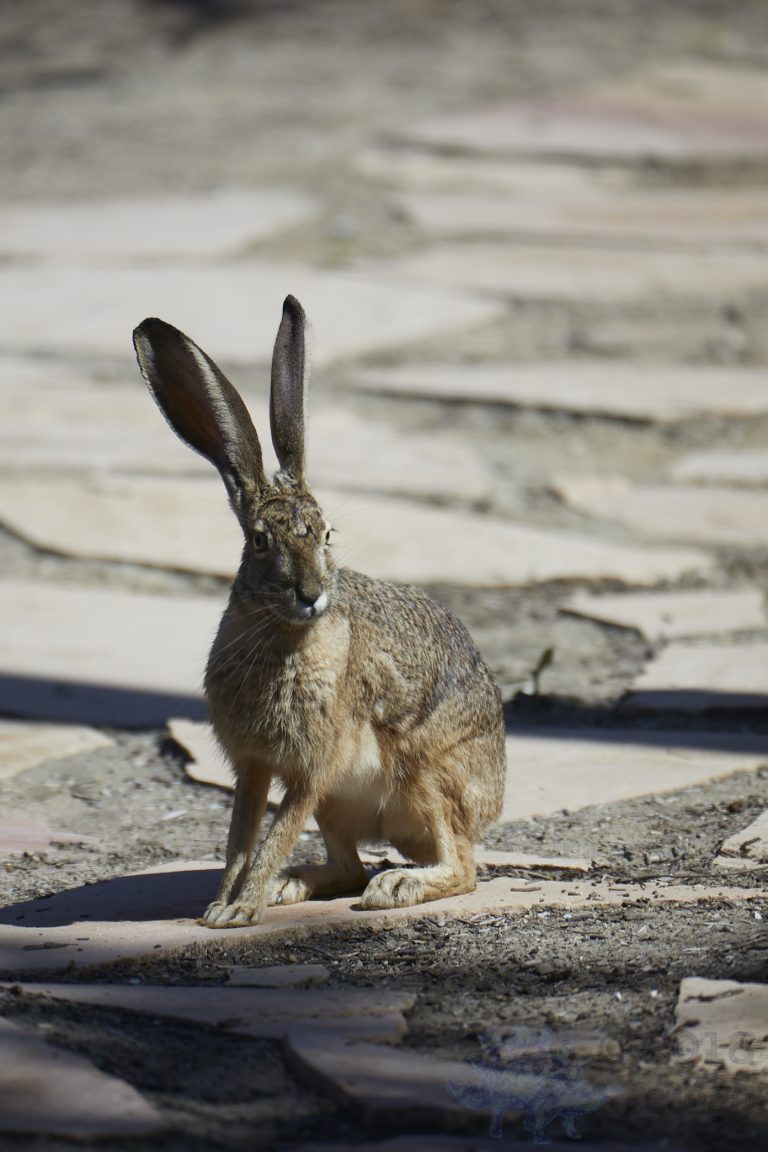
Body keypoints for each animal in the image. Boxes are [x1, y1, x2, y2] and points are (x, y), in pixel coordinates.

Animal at [133, 295, 506, 927]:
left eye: (329, 534)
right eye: (260, 541)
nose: (310, 593)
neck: (286, 635)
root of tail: (496, 797)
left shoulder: (313, 765)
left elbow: (278, 830)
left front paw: (239, 911)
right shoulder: (254, 766)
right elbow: (241, 836)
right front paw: (222, 905)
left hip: (427, 773)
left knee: (461, 866)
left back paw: (395, 887)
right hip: (344, 804)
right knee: (349, 866)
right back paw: (293, 887)